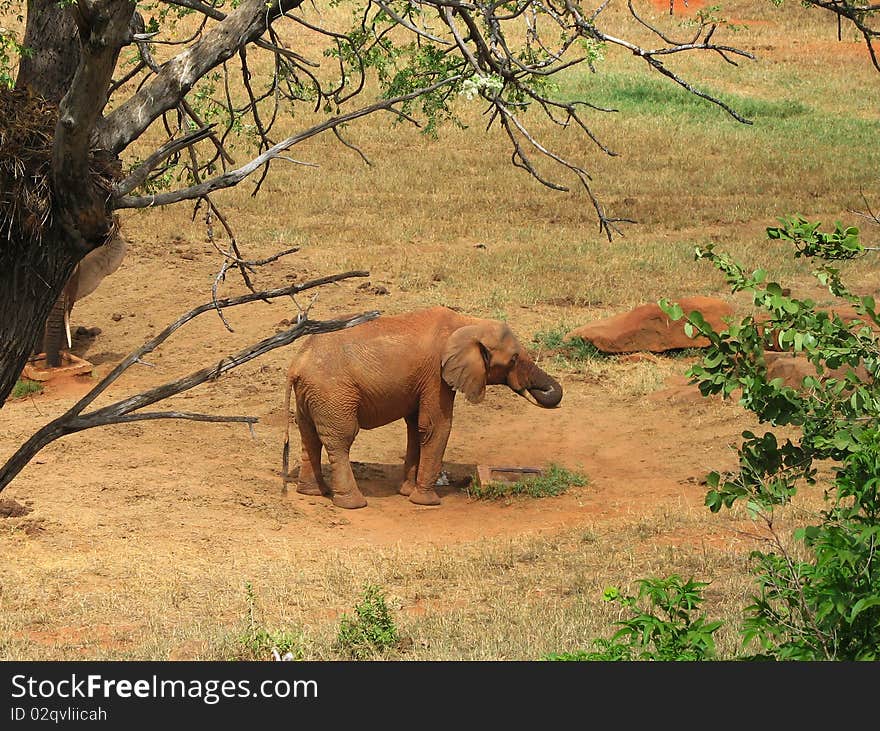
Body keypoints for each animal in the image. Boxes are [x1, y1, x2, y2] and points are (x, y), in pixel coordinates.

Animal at [282, 308, 564, 508]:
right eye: (513, 359)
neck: (466, 323)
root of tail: (296, 365)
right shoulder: (436, 375)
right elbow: (435, 426)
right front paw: (427, 502)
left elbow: (416, 426)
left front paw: (407, 492)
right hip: (333, 393)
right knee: (340, 440)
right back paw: (353, 504)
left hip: (312, 395)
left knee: (309, 436)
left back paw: (313, 492)